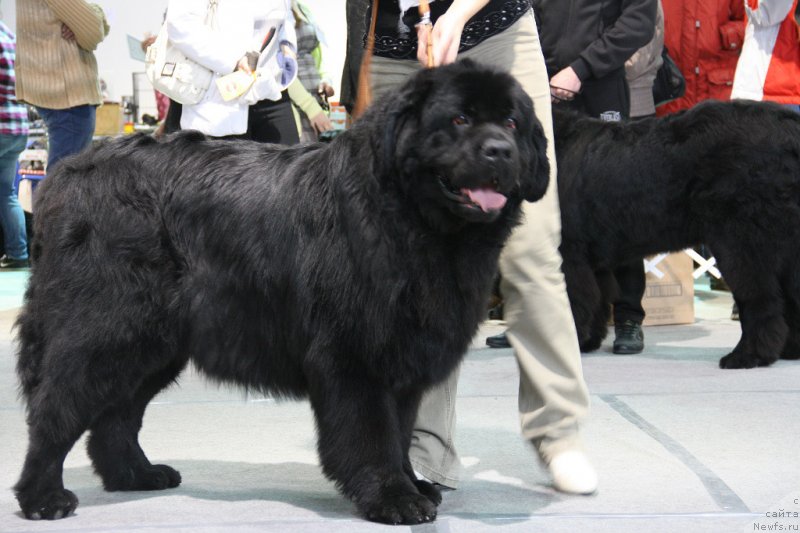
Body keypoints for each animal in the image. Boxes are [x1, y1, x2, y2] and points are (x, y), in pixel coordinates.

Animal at [14, 61, 552, 524]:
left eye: (511, 122)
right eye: (459, 119)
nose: (500, 150)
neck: (407, 219)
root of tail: (65, 174)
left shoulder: (402, 361)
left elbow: (399, 433)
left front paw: (413, 484)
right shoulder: (354, 356)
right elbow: (373, 434)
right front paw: (393, 497)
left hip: (154, 344)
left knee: (116, 414)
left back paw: (136, 474)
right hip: (105, 328)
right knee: (56, 407)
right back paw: (43, 497)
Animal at [552, 102, 800, 370]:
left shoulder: (569, 254)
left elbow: (572, 302)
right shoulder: (593, 261)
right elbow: (596, 300)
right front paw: (587, 343)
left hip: (739, 242)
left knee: (759, 297)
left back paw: (747, 355)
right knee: (788, 297)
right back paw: (788, 350)